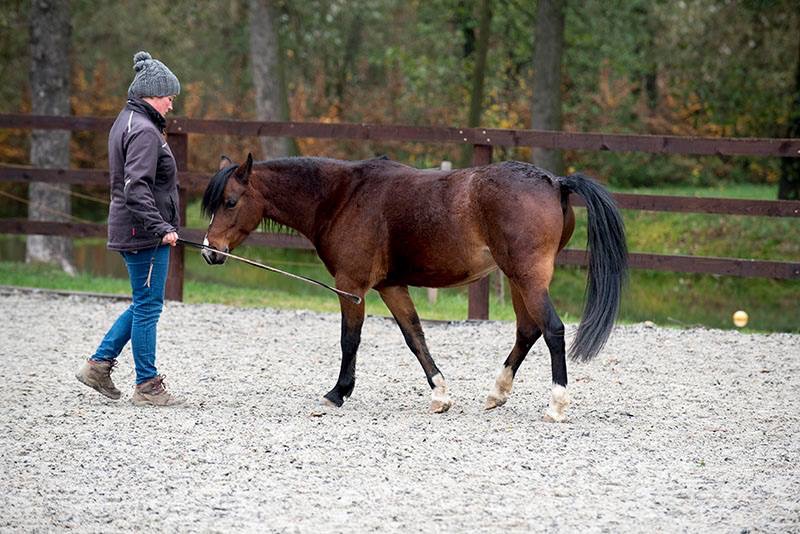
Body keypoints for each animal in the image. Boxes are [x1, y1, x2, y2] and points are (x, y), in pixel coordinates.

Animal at [200, 154, 627, 421]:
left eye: (231, 201)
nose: (209, 251)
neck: (343, 197)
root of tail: (556, 182)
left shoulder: (351, 286)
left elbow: (349, 340)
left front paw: (337, 393)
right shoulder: (392, 287)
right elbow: (415, 337)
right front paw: (440, 394)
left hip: (526, 277)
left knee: (551, 330)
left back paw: (556, 404)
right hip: (517, 279)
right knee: (527, 330)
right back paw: (497, 393)